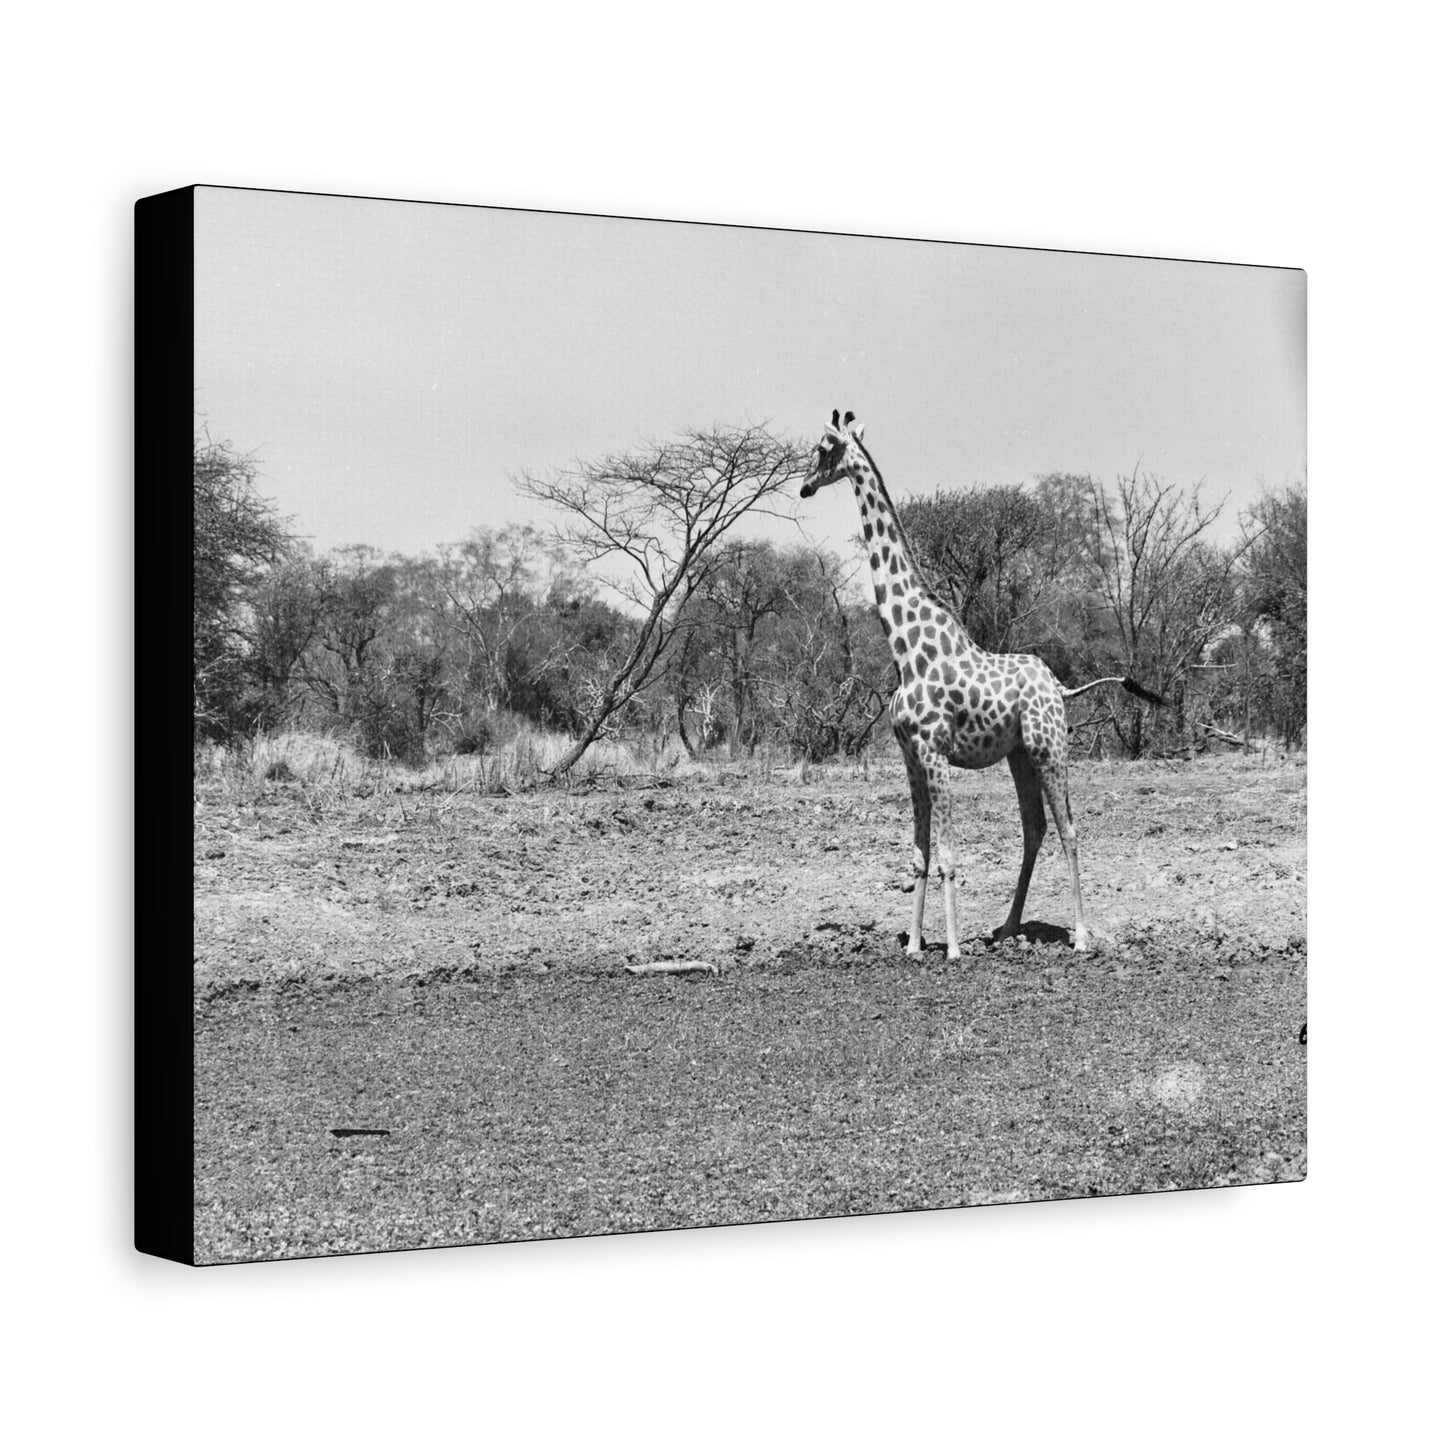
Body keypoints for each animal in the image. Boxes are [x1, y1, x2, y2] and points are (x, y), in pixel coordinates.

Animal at [799, 410, 1160, 957]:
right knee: (1034, 828)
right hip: (1019, 754)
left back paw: (1079, 936)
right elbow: (920, 855)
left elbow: (949, 855)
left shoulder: (934, 753)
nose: (803, 486)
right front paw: (914, 946)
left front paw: (950, 949)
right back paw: (1008, 927)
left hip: (1050, 746)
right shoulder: (910, 759)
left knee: (1070, 829)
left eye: (823, 447)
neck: (905, 649)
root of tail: (1060, 688)